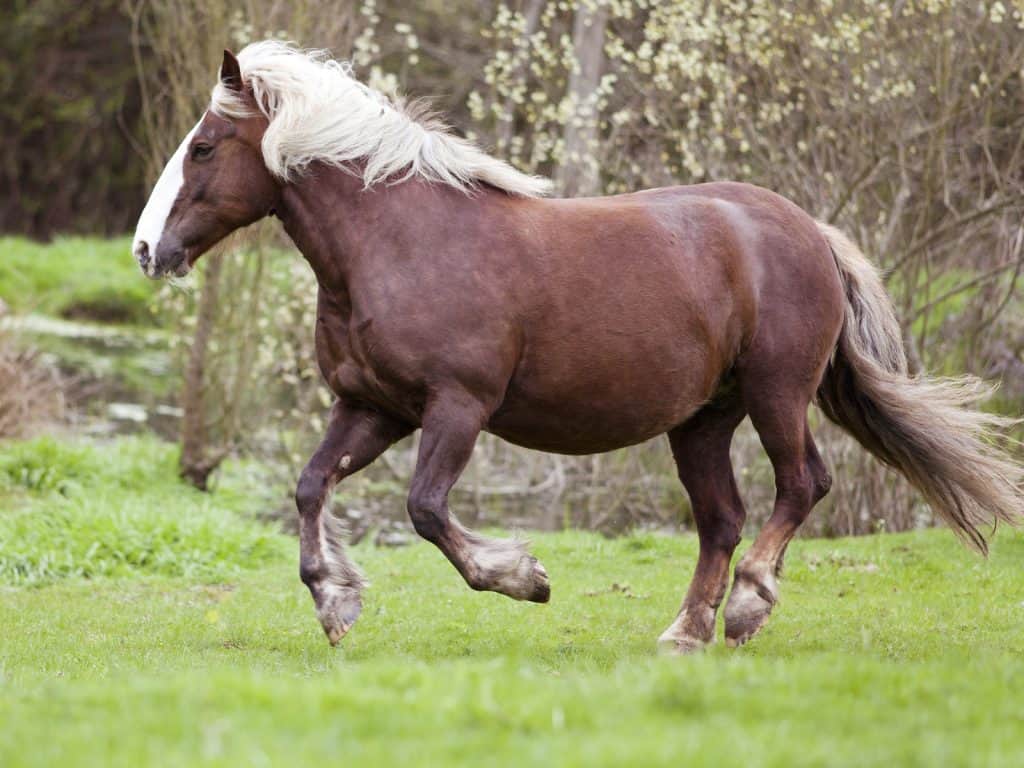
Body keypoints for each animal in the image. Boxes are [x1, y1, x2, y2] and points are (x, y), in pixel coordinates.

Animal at [134, 41, 1024, 651]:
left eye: (204, 147)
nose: (148, 251)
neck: (398, 242)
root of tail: (809, 231)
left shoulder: (456, 407)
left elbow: (426, 510)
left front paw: (523, 579)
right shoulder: (372, 407)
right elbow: (311, 487)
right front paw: (336, 603)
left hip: (778, 393)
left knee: (803, 485)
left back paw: (745, 608)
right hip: (702, 420)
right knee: (722, 519)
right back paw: (685, 633)